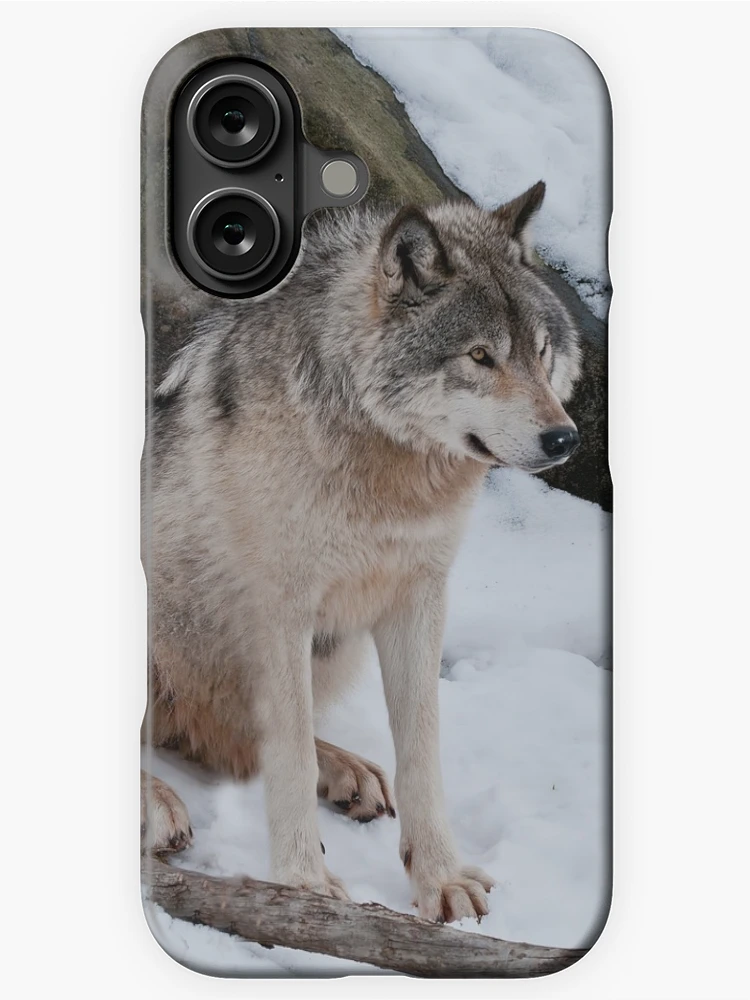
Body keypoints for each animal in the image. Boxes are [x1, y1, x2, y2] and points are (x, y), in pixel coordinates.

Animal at [141, 181, 581, 923]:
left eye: (541, 352)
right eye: (480, 357)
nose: (565, 439)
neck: (389, 478)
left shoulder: (418, 597)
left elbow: (421, 750)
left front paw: (440, 879)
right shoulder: (281, 607)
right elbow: (287, 753)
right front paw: (302, 884)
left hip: (329, 647)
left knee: (223, 738)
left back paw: (347, 770)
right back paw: (158, 803)